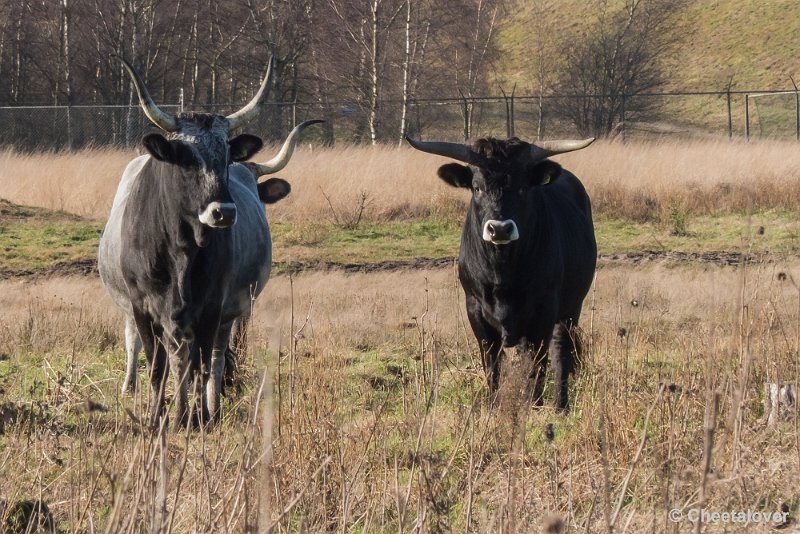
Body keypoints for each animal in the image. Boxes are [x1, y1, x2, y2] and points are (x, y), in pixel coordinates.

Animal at [406, 135, 592, 410]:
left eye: (523, 187)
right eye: (477, 187)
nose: (500, 229)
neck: (502, 271)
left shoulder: (544, 310)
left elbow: (538, 365)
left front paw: (533, 407)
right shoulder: (476, 312)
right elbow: (492, 365)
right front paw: (494, 406)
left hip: (570, 309)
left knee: (561, 352)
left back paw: (560, 405)